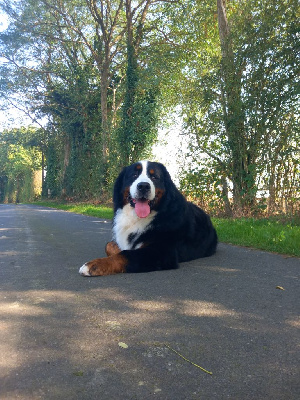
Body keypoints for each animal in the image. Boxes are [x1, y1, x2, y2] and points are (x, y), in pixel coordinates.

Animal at [78, 159, 217, 276]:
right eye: (134, 175)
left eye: (154, 177)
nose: (143, 186)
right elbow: (110, 245)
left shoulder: (162, 252)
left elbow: (125, 254)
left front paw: (94, 265)